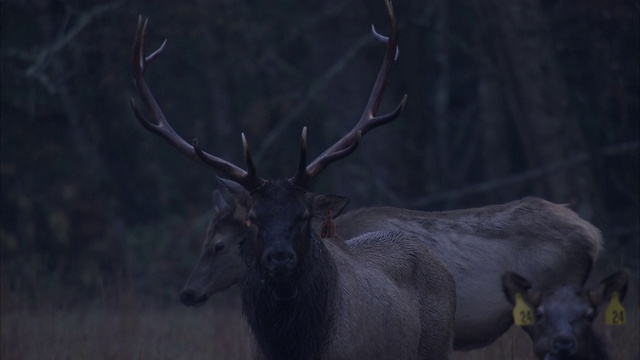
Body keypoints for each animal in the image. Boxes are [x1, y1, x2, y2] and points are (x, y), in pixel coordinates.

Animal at [131, 1, 460, 358]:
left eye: (303, 216)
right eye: (252, 218)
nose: (280, 257)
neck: (295, 348)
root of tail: (444, 270)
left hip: (439, 344)